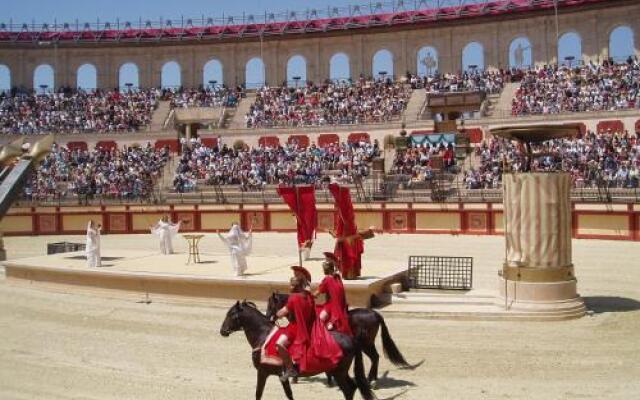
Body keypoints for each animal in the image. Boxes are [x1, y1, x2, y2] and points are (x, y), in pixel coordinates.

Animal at [220, 300, 376, 400]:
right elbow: (289, 394)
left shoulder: (262, 372)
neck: (263, 336)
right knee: (352, 388)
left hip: (339, 372)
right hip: (340, 372)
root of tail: (351, 339)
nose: (222, 331)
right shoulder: (281, 376)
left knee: (348, 389)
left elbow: (258, 393)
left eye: (230, 314)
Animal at [266, 292, 410, 382]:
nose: (269, 318)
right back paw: (372, 378)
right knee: (376, 358)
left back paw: (370, 379)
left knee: (375, 357)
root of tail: (376, 314)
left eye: (271, 304)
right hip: (368, 344)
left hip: (366, 344)